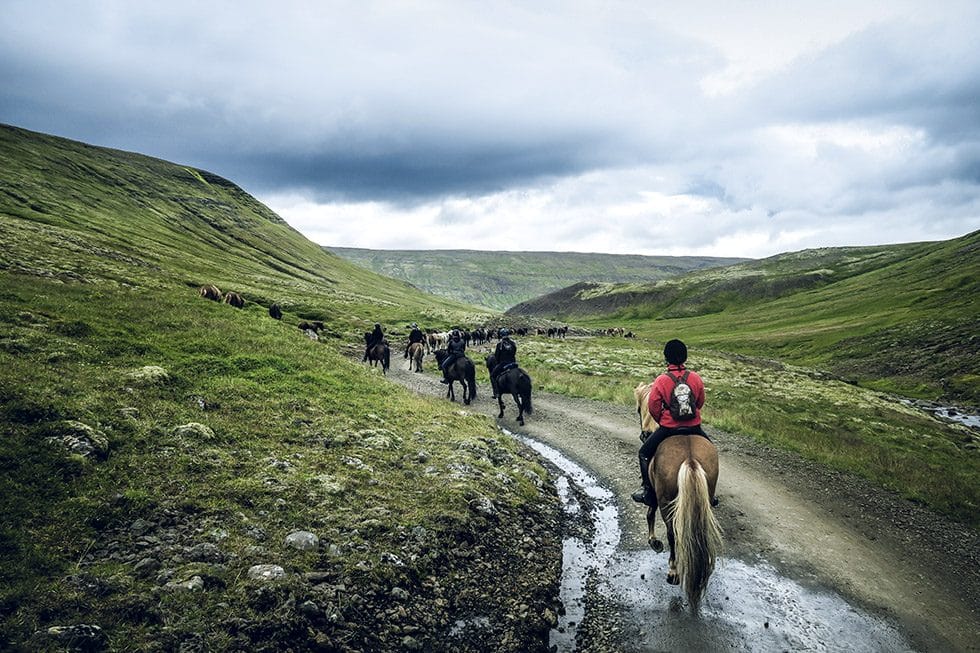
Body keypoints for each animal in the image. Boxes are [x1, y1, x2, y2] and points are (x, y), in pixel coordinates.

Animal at [636, 382, 720, 612]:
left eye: (638, 409)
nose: (643, 434)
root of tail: (690, 460)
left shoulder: (656, 494)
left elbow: (649, 511)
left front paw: (653, 541)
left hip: (667, 502)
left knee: (672, 533)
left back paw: (673, 571)